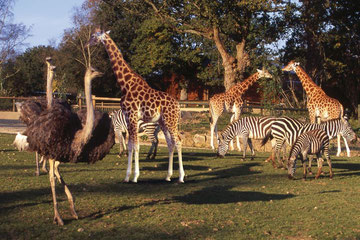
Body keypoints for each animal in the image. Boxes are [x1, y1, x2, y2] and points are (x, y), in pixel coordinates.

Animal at [86, 28, 184, 182]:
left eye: (94, 36)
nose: (86, 44)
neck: (125, 84)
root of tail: (178, 106)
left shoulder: (132, 116)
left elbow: (135, 146)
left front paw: (133, 176)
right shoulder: (128, 118)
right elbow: (131, 145)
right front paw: (129, 176)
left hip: (170, 121)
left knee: (178, 141)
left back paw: (181, 177)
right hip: (163, 122)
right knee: (170, 143)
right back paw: (168, 176)